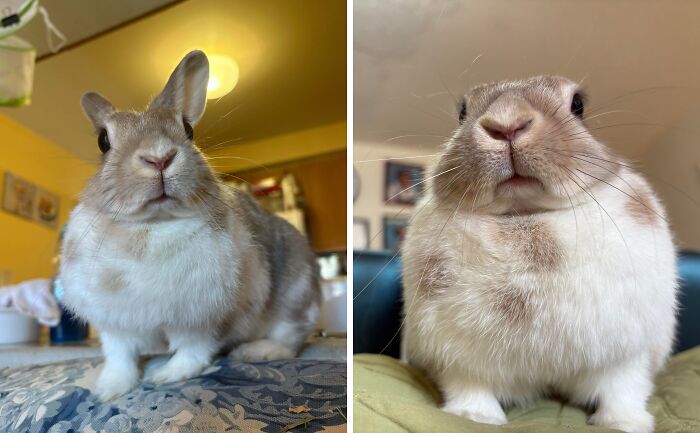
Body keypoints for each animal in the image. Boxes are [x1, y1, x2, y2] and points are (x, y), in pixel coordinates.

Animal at [59, 50, 321, 401]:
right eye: (103, 141)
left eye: (187, 129)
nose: (159, 158)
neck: (153, 225)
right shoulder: (116, 323)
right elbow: (119, 355)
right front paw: (109, 389)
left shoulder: (203, 318)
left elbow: (193, 351)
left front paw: (166, 376)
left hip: (294, 292)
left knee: (292, 338)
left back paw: (256, 351)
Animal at [401, 76, 677, 433]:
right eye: (461, 112)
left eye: (578, 105)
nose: (507, 124)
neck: (524, 214)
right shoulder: (456, 355)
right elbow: (468, 385)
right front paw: (474, 416)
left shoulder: (629, 353)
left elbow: (623, 388)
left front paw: (622, 423)